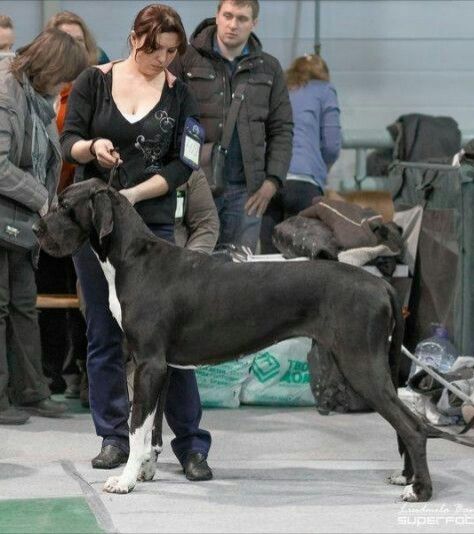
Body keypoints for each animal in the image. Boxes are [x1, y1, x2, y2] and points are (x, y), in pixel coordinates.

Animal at [33, 178, 470, 501]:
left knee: (413, 427)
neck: (132, 258)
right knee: (409, 422)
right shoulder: (162, 367)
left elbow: (136, 425)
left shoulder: (147, 365)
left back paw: (420, 491)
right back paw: (406, 478)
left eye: (65, 205)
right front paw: (146, 471)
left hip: (360, 364)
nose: (36, 228)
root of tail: (383, 286)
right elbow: (154, 429)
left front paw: (124, 481)